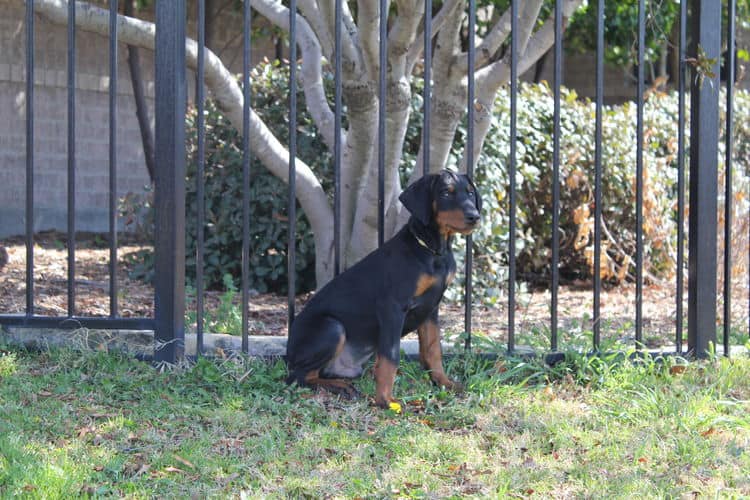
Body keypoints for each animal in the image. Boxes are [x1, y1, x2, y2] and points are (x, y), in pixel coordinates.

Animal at [284, 170, 484, 408]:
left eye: (470, 192)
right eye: (445, 192)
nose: (474, 216)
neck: (432, 251)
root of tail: (288, 353)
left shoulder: (431, 308)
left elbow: (433, 348)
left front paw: (444, 383)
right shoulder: (393, 307)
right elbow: (390, 356)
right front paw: (386, 401)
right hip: (332, 327)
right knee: (298, 376)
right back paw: (339, 387)